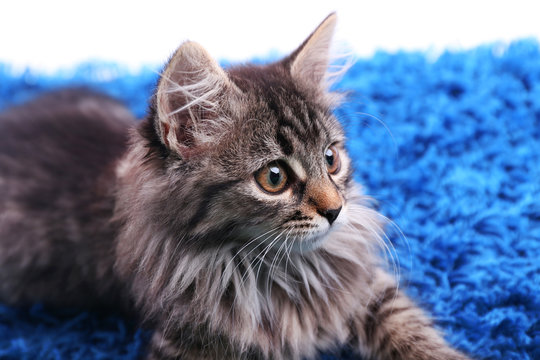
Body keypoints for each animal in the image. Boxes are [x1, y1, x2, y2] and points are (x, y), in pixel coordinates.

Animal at [0, 13, 470, 360]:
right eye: (274, 178)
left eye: (331, 159)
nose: (335, 210)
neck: (280, 271)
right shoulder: (186, 339)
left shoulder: (364, 289)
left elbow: (410, 328)